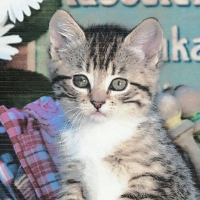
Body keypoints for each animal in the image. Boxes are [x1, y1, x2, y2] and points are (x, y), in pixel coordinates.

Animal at [48, 9, 197, 200]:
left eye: (119, 84)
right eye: (80, 80)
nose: (97, 102)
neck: (99, 131)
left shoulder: (164, 180)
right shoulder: (71, 177)